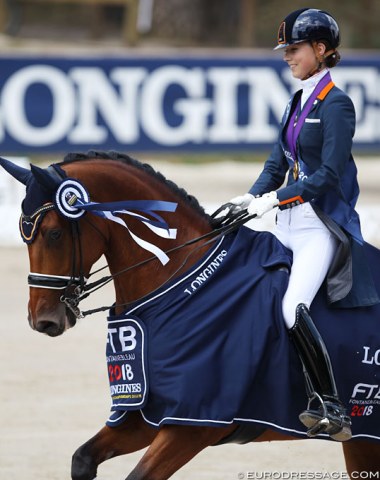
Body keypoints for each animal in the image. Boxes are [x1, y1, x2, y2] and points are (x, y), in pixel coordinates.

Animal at [0, 151, 380, 480]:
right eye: (22, 232)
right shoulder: (148, 412)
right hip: (363, 443)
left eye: (54, 233)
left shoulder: (194, 424)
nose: (42, 320)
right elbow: (82, 459)